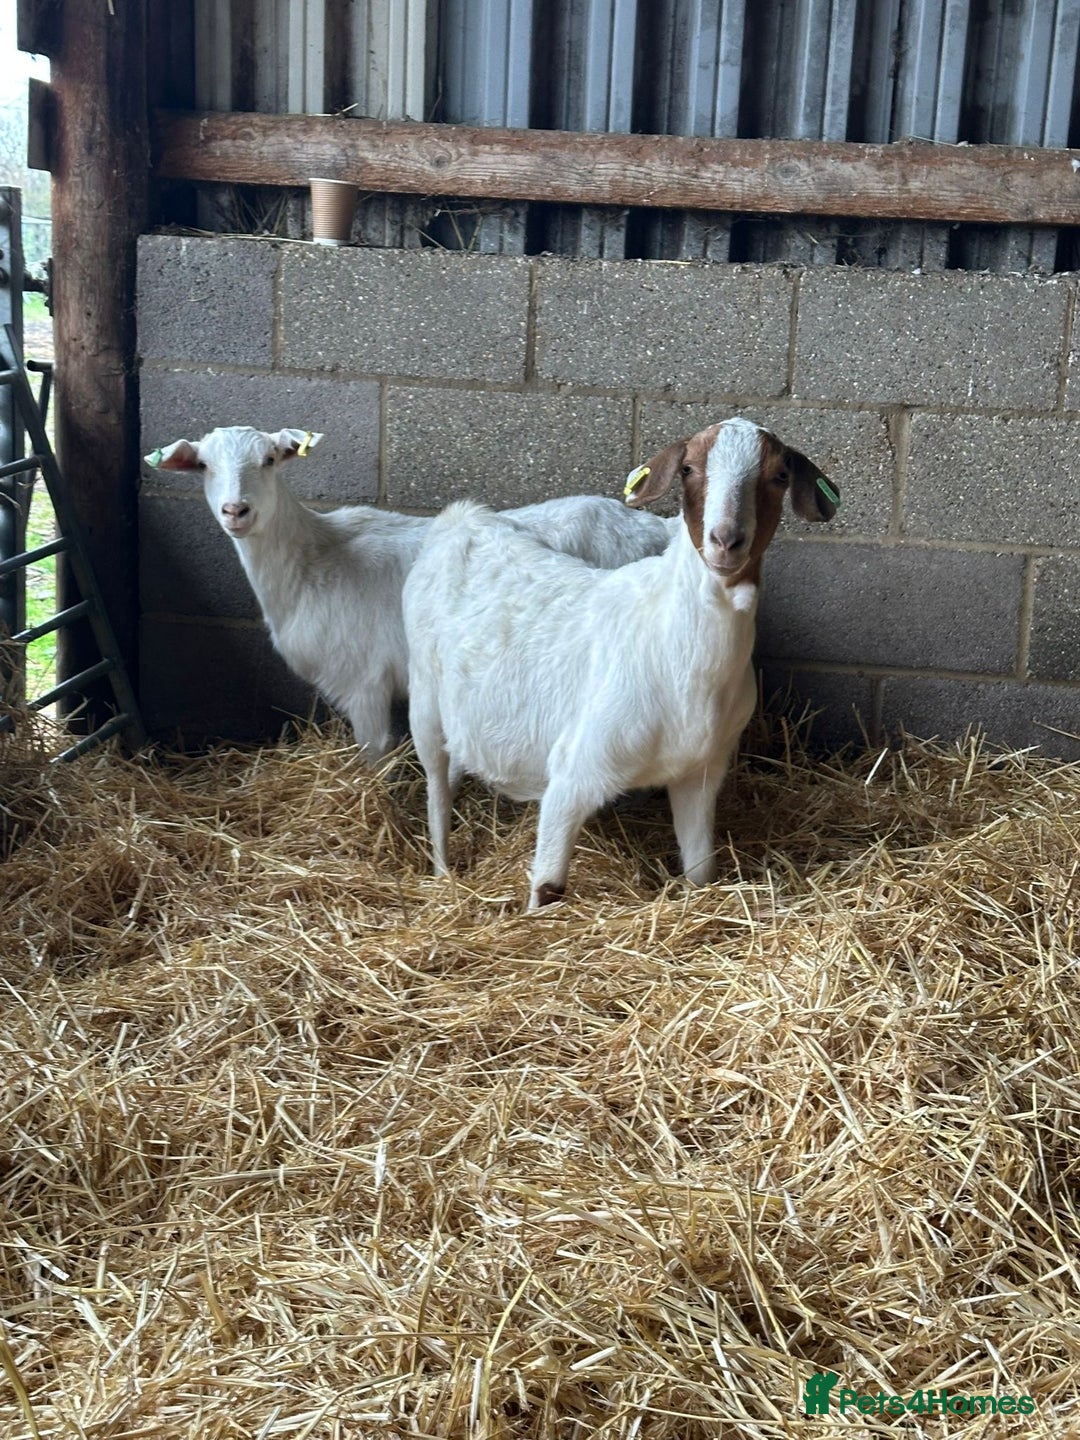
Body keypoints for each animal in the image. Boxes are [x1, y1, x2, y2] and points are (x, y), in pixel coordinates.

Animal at [144, 425, 673, 759]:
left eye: (269, 460)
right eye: (204, 465)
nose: (237, 511)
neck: (315, 558)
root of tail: (653, 528)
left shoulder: (363, 683)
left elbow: (374, 756)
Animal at [402, 418, 838, 907]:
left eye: (780, 476)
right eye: (688, 469)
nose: (725, 541)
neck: (676, 653)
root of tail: (464, 518)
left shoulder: (701, 772)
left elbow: (700, 871)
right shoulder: (574, 773)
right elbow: (548, 887)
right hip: (423, 700)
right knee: (436, 788)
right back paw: (442, 872)